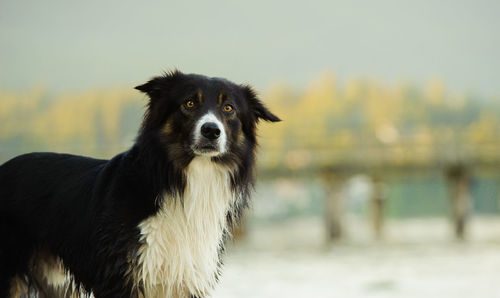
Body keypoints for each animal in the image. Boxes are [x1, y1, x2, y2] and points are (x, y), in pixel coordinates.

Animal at [0, 71, 282, 296]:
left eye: (229, 109)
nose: (211, 131)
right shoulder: (122, 278)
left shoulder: (187, 278)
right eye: (189, 103)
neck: (183, 183)